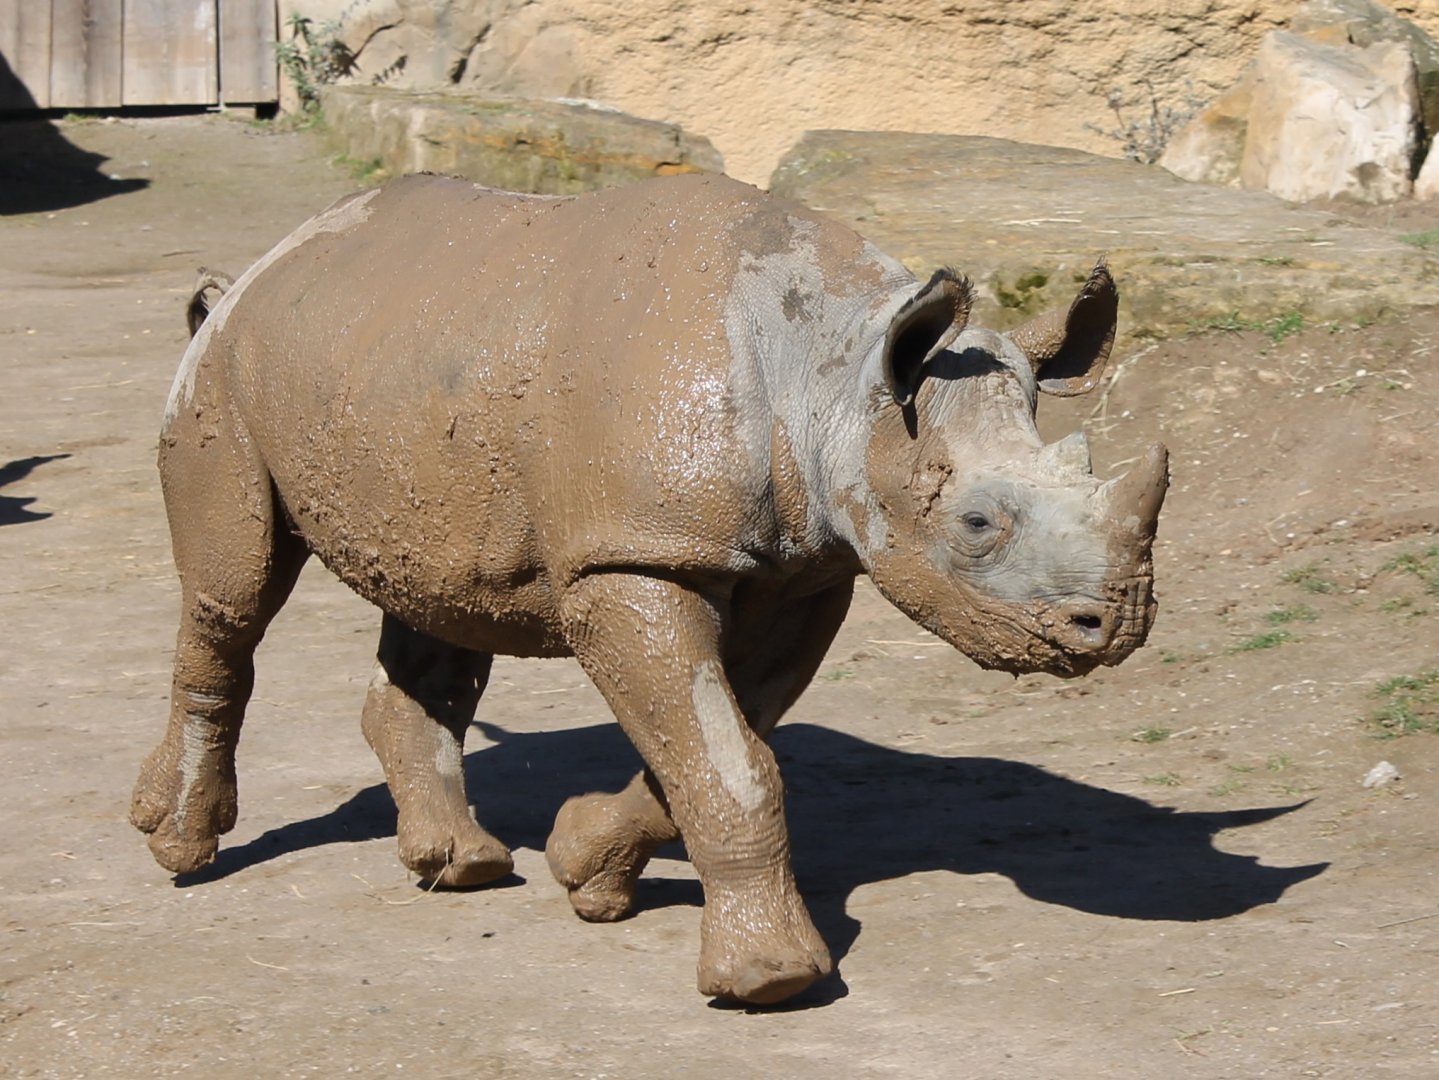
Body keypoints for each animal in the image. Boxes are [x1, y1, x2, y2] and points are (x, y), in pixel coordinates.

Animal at [133, 172, 1167, 1005]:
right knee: (233, 593)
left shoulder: (802, 569)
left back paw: (461, 867)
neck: (837, 376)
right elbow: (730, 760)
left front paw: (583, 869)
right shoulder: (631, 558)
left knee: (442, 605)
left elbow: (716, 745)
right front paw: (769, 980)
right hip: (228, 374)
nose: (1112, 626)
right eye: (977, 525)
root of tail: (263, 266)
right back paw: (180, 846)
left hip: (405, 376)